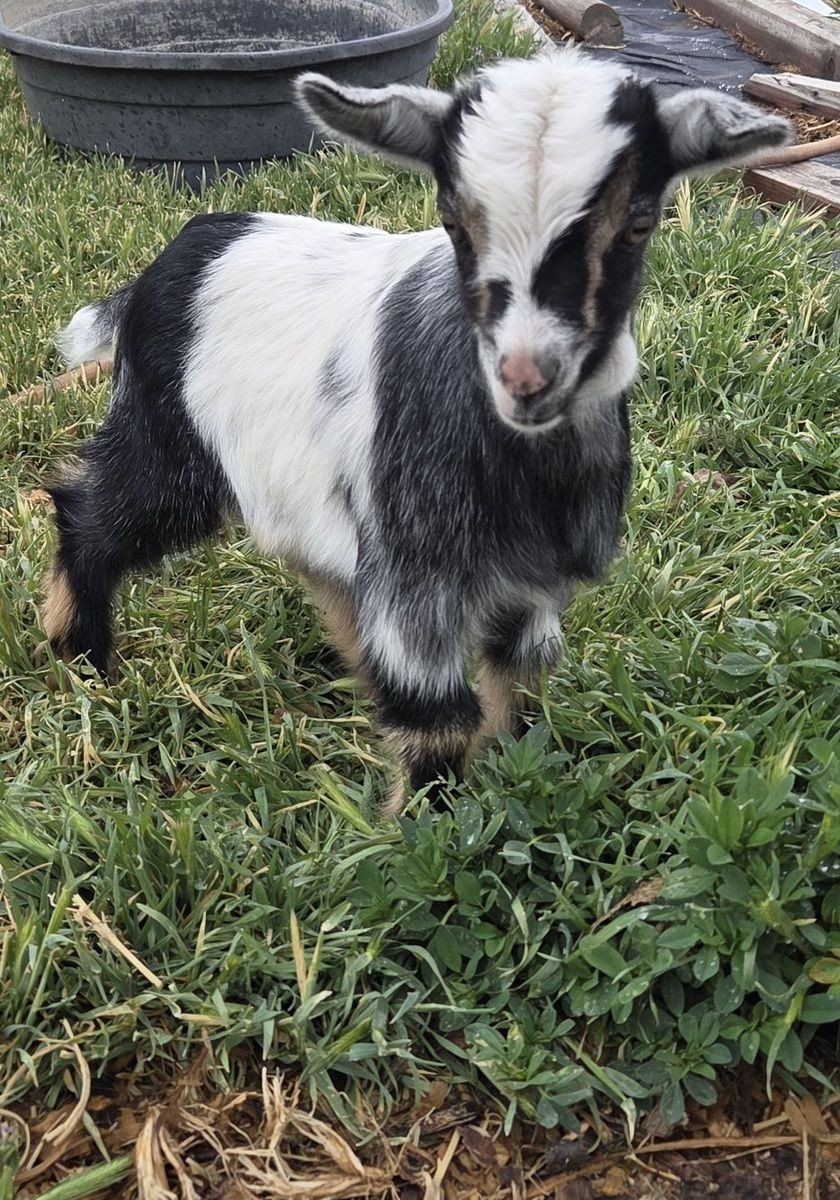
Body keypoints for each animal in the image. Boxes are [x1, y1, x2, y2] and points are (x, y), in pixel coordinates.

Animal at [42, 51, 790, 811]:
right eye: (452, 221)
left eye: (639, 224)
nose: (527, 378)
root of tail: (173, 258)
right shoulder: (417, 579)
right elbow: (438, 721)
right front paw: (433, 823)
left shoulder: (531, 582)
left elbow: (521, 678)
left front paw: (511, 775)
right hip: (169, 440)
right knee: (94, 514)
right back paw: (83, 657)